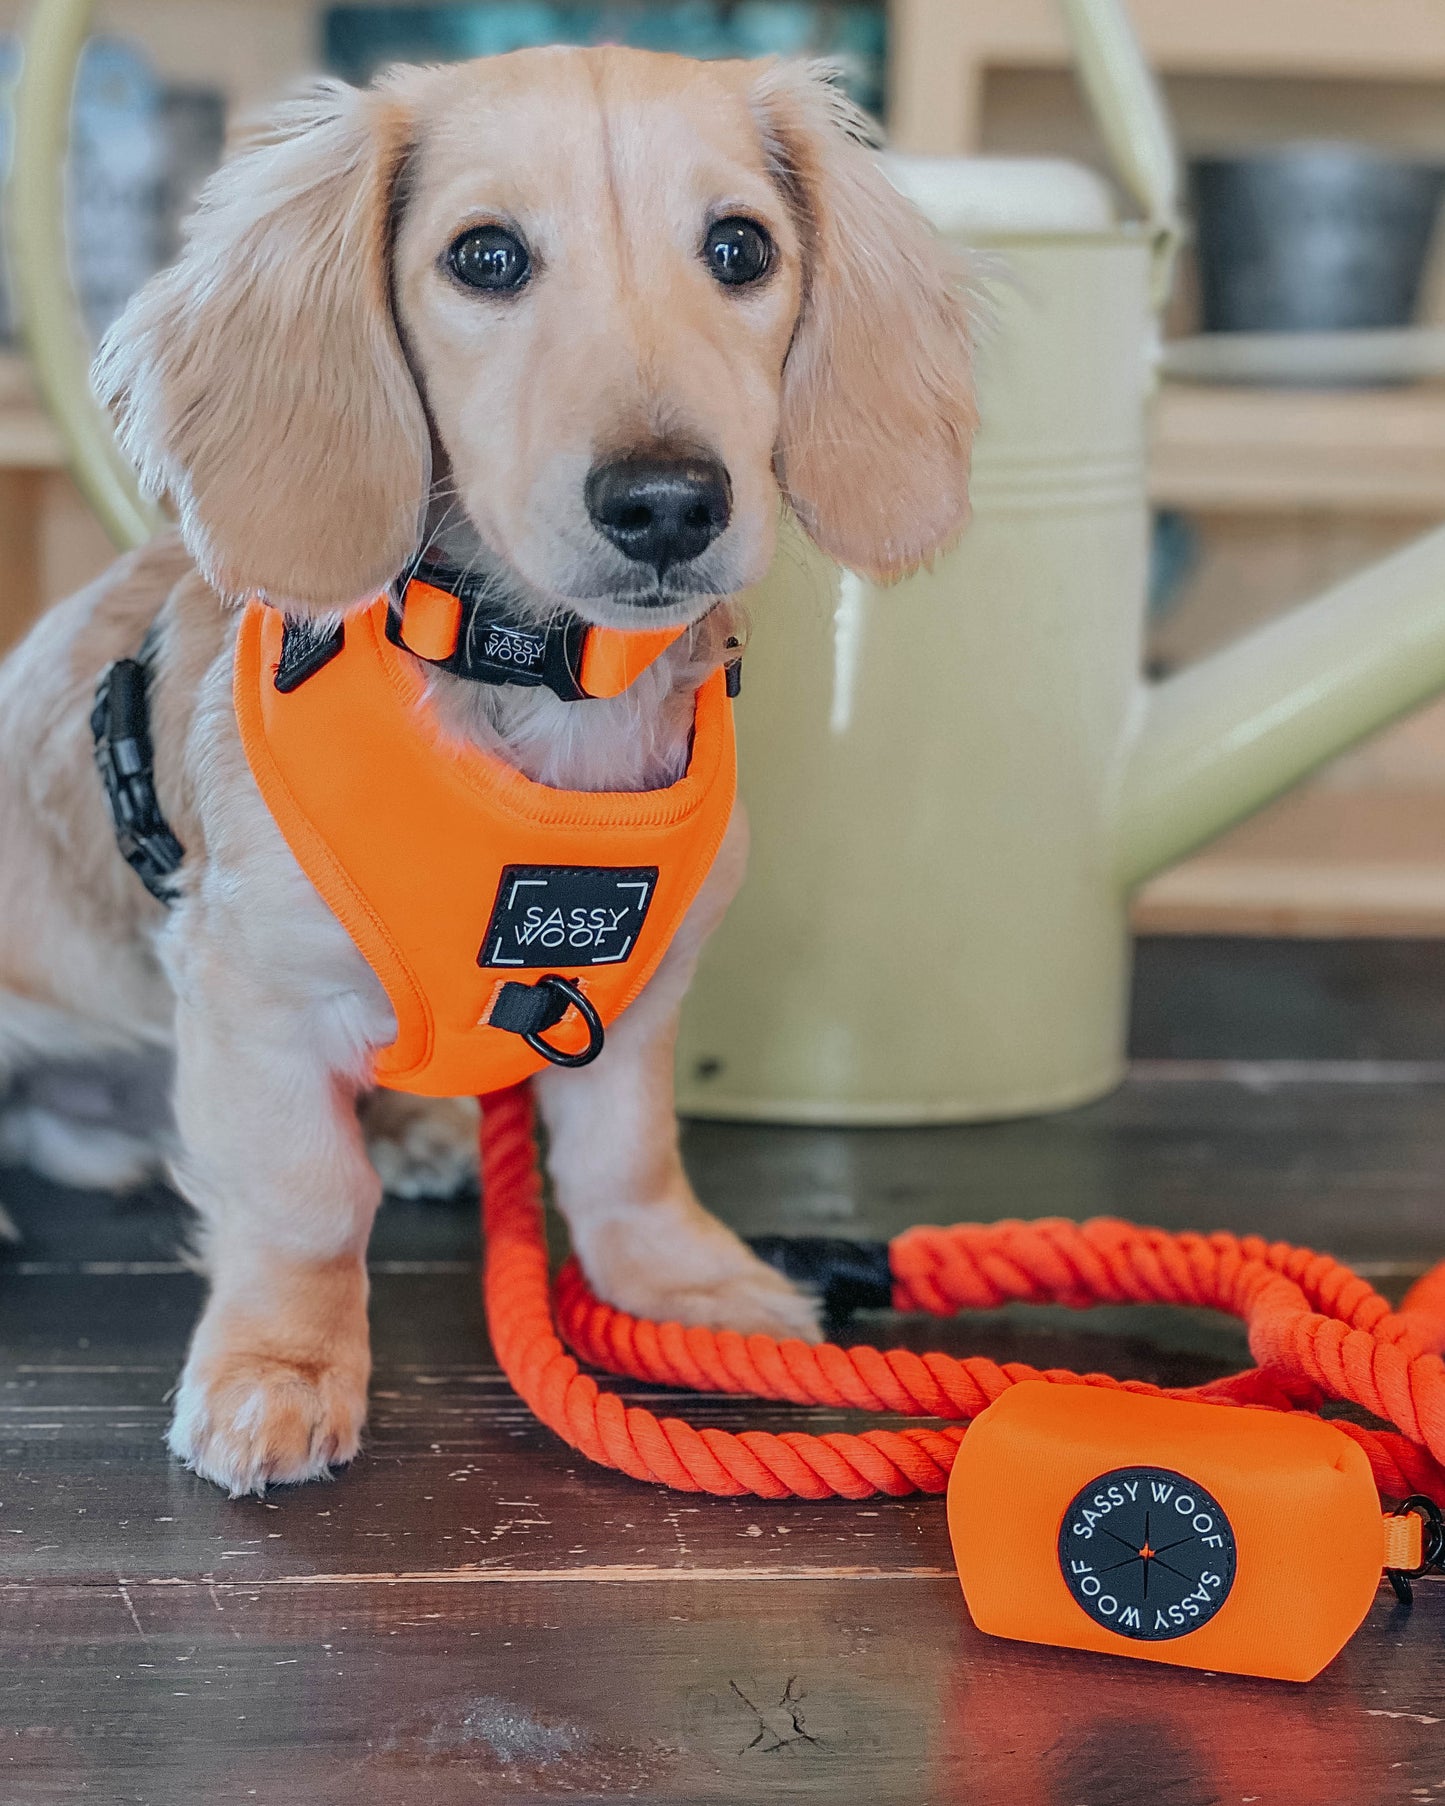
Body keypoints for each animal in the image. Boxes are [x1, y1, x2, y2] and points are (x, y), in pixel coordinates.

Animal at [0, 52, 975, 1495]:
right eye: (486, 256)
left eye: (740, 248)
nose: (667, 502)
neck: (545, 686)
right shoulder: (255, 992)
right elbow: (300, 1199)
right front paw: (283, 1368)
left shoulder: (635, 988)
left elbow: (627, 1157)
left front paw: (678, 1278)